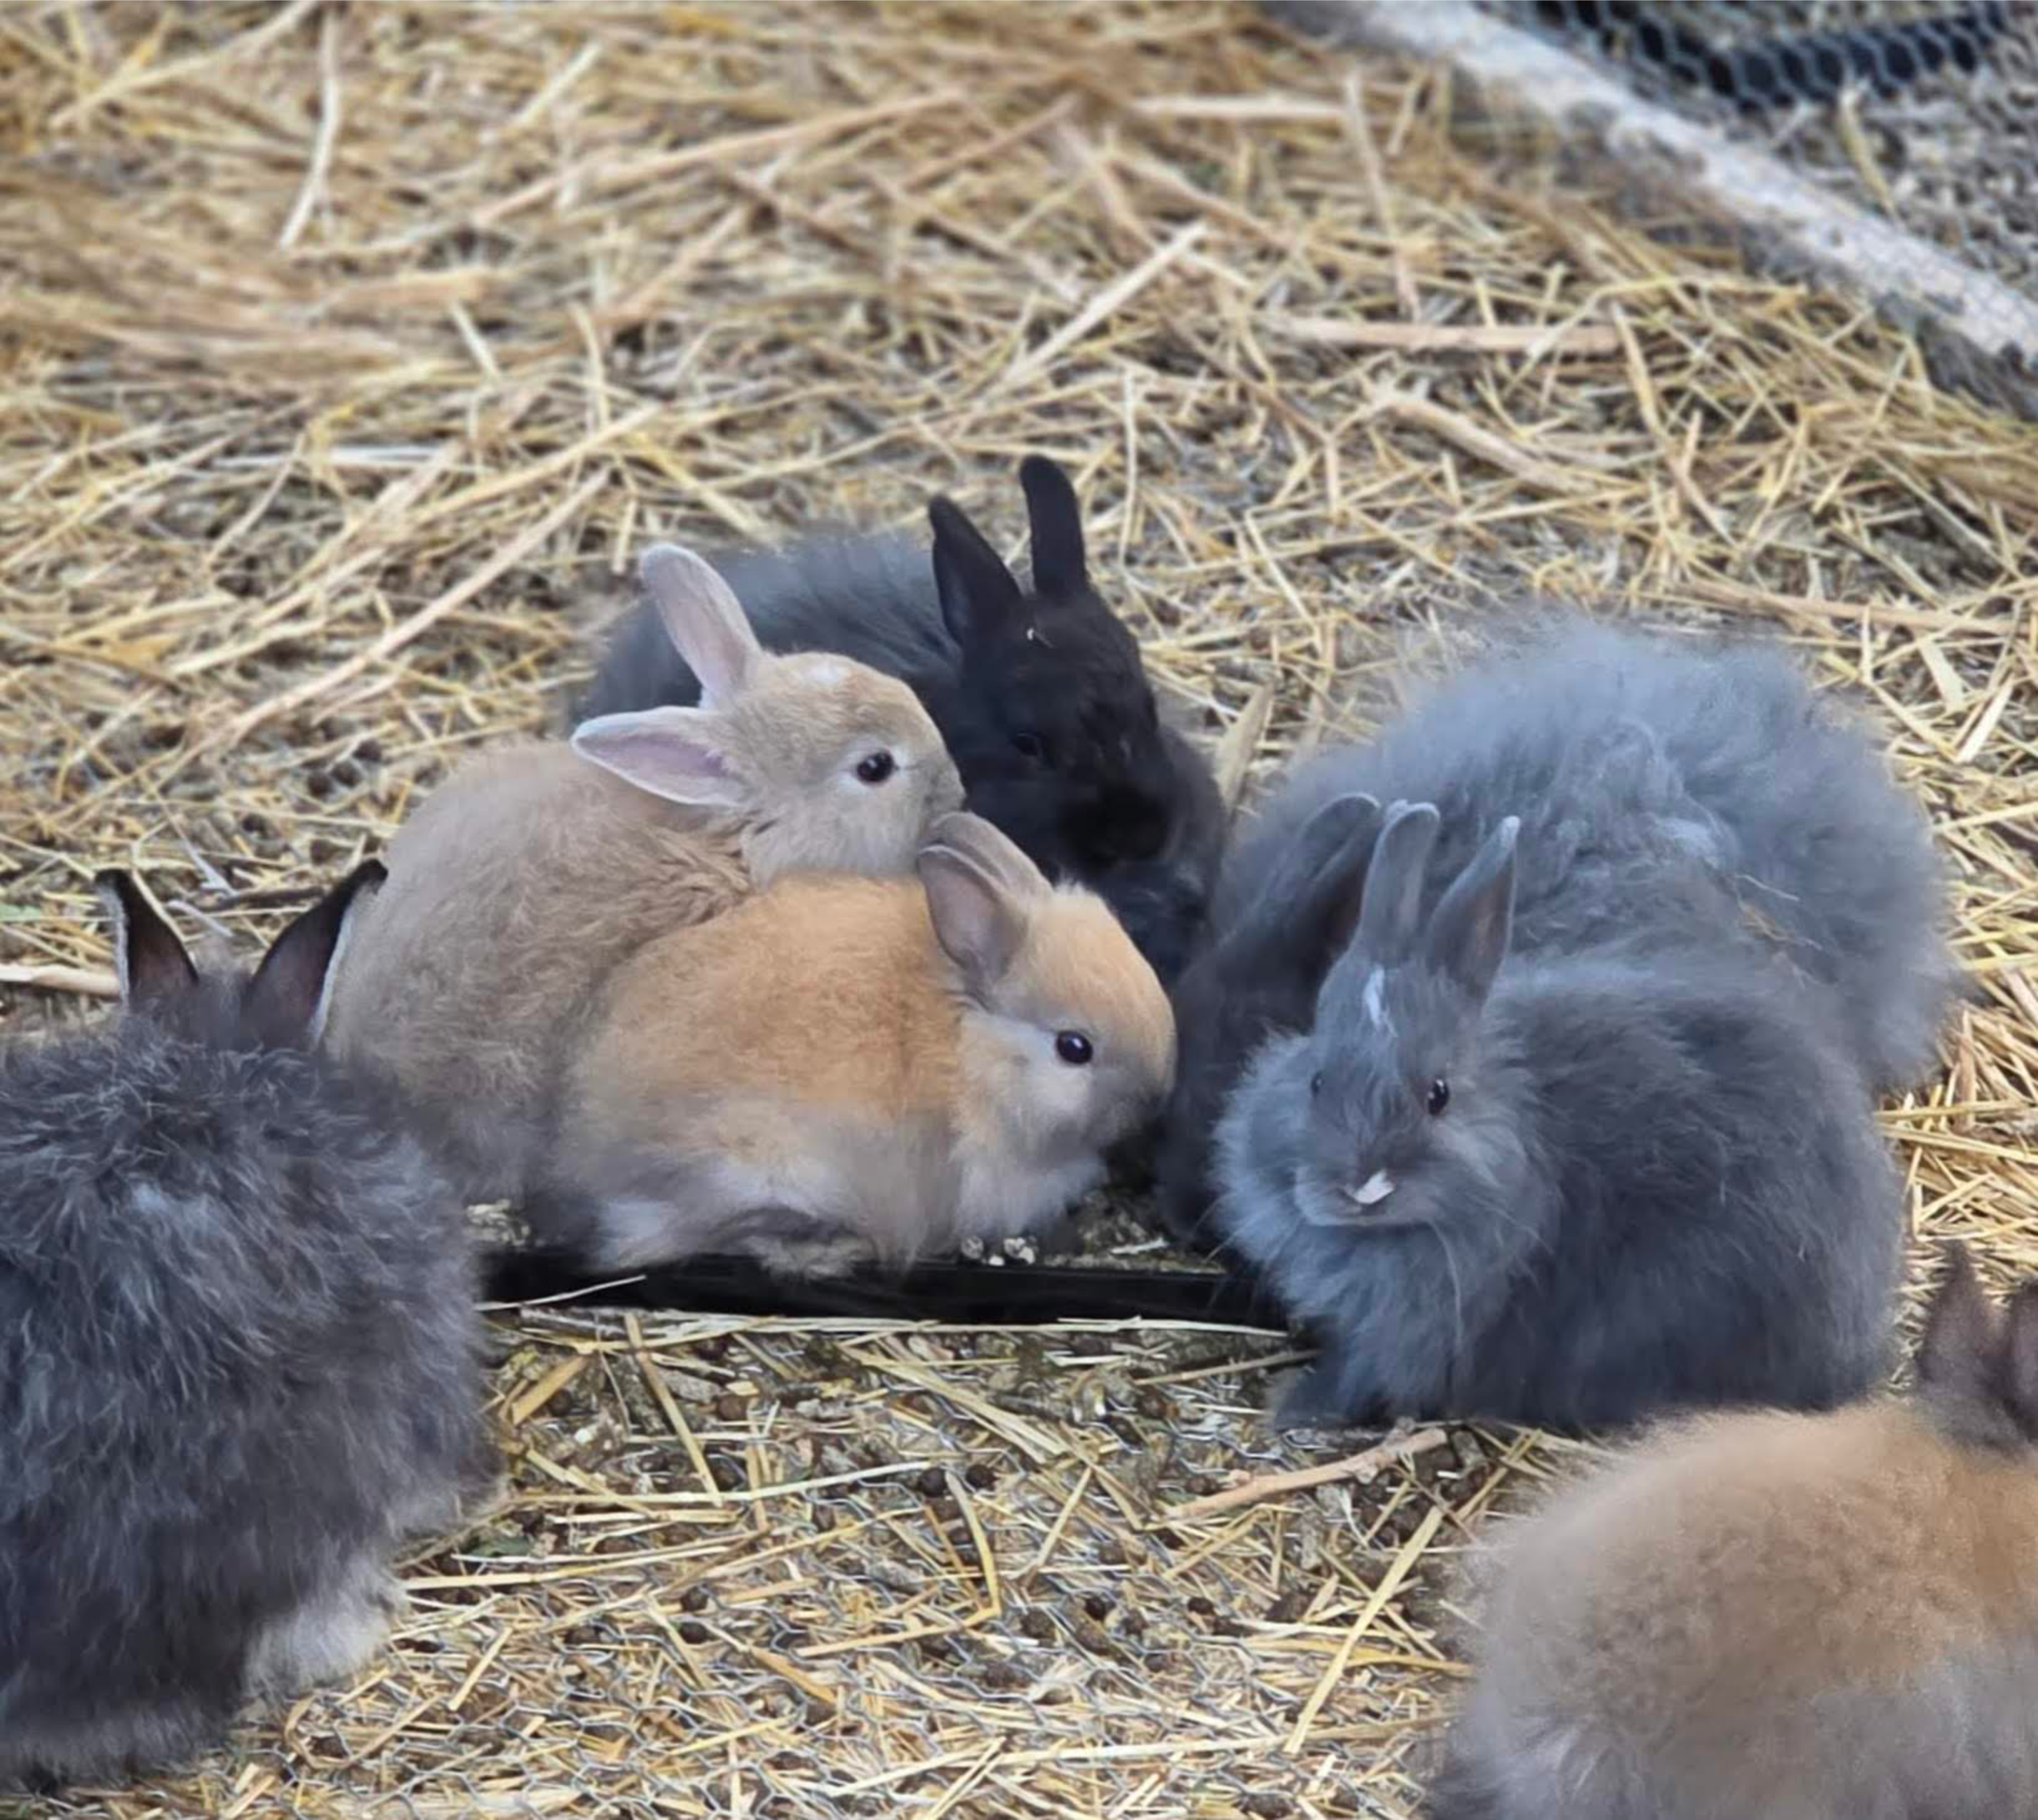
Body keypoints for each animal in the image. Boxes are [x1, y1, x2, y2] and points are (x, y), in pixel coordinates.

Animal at [1211, 799, 1906, 1430]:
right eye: (1316, 1081)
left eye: (1438, 1095)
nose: (1360, 1188)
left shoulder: (1412, 1331)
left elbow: (1364, 1375)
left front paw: (1296, 1407)